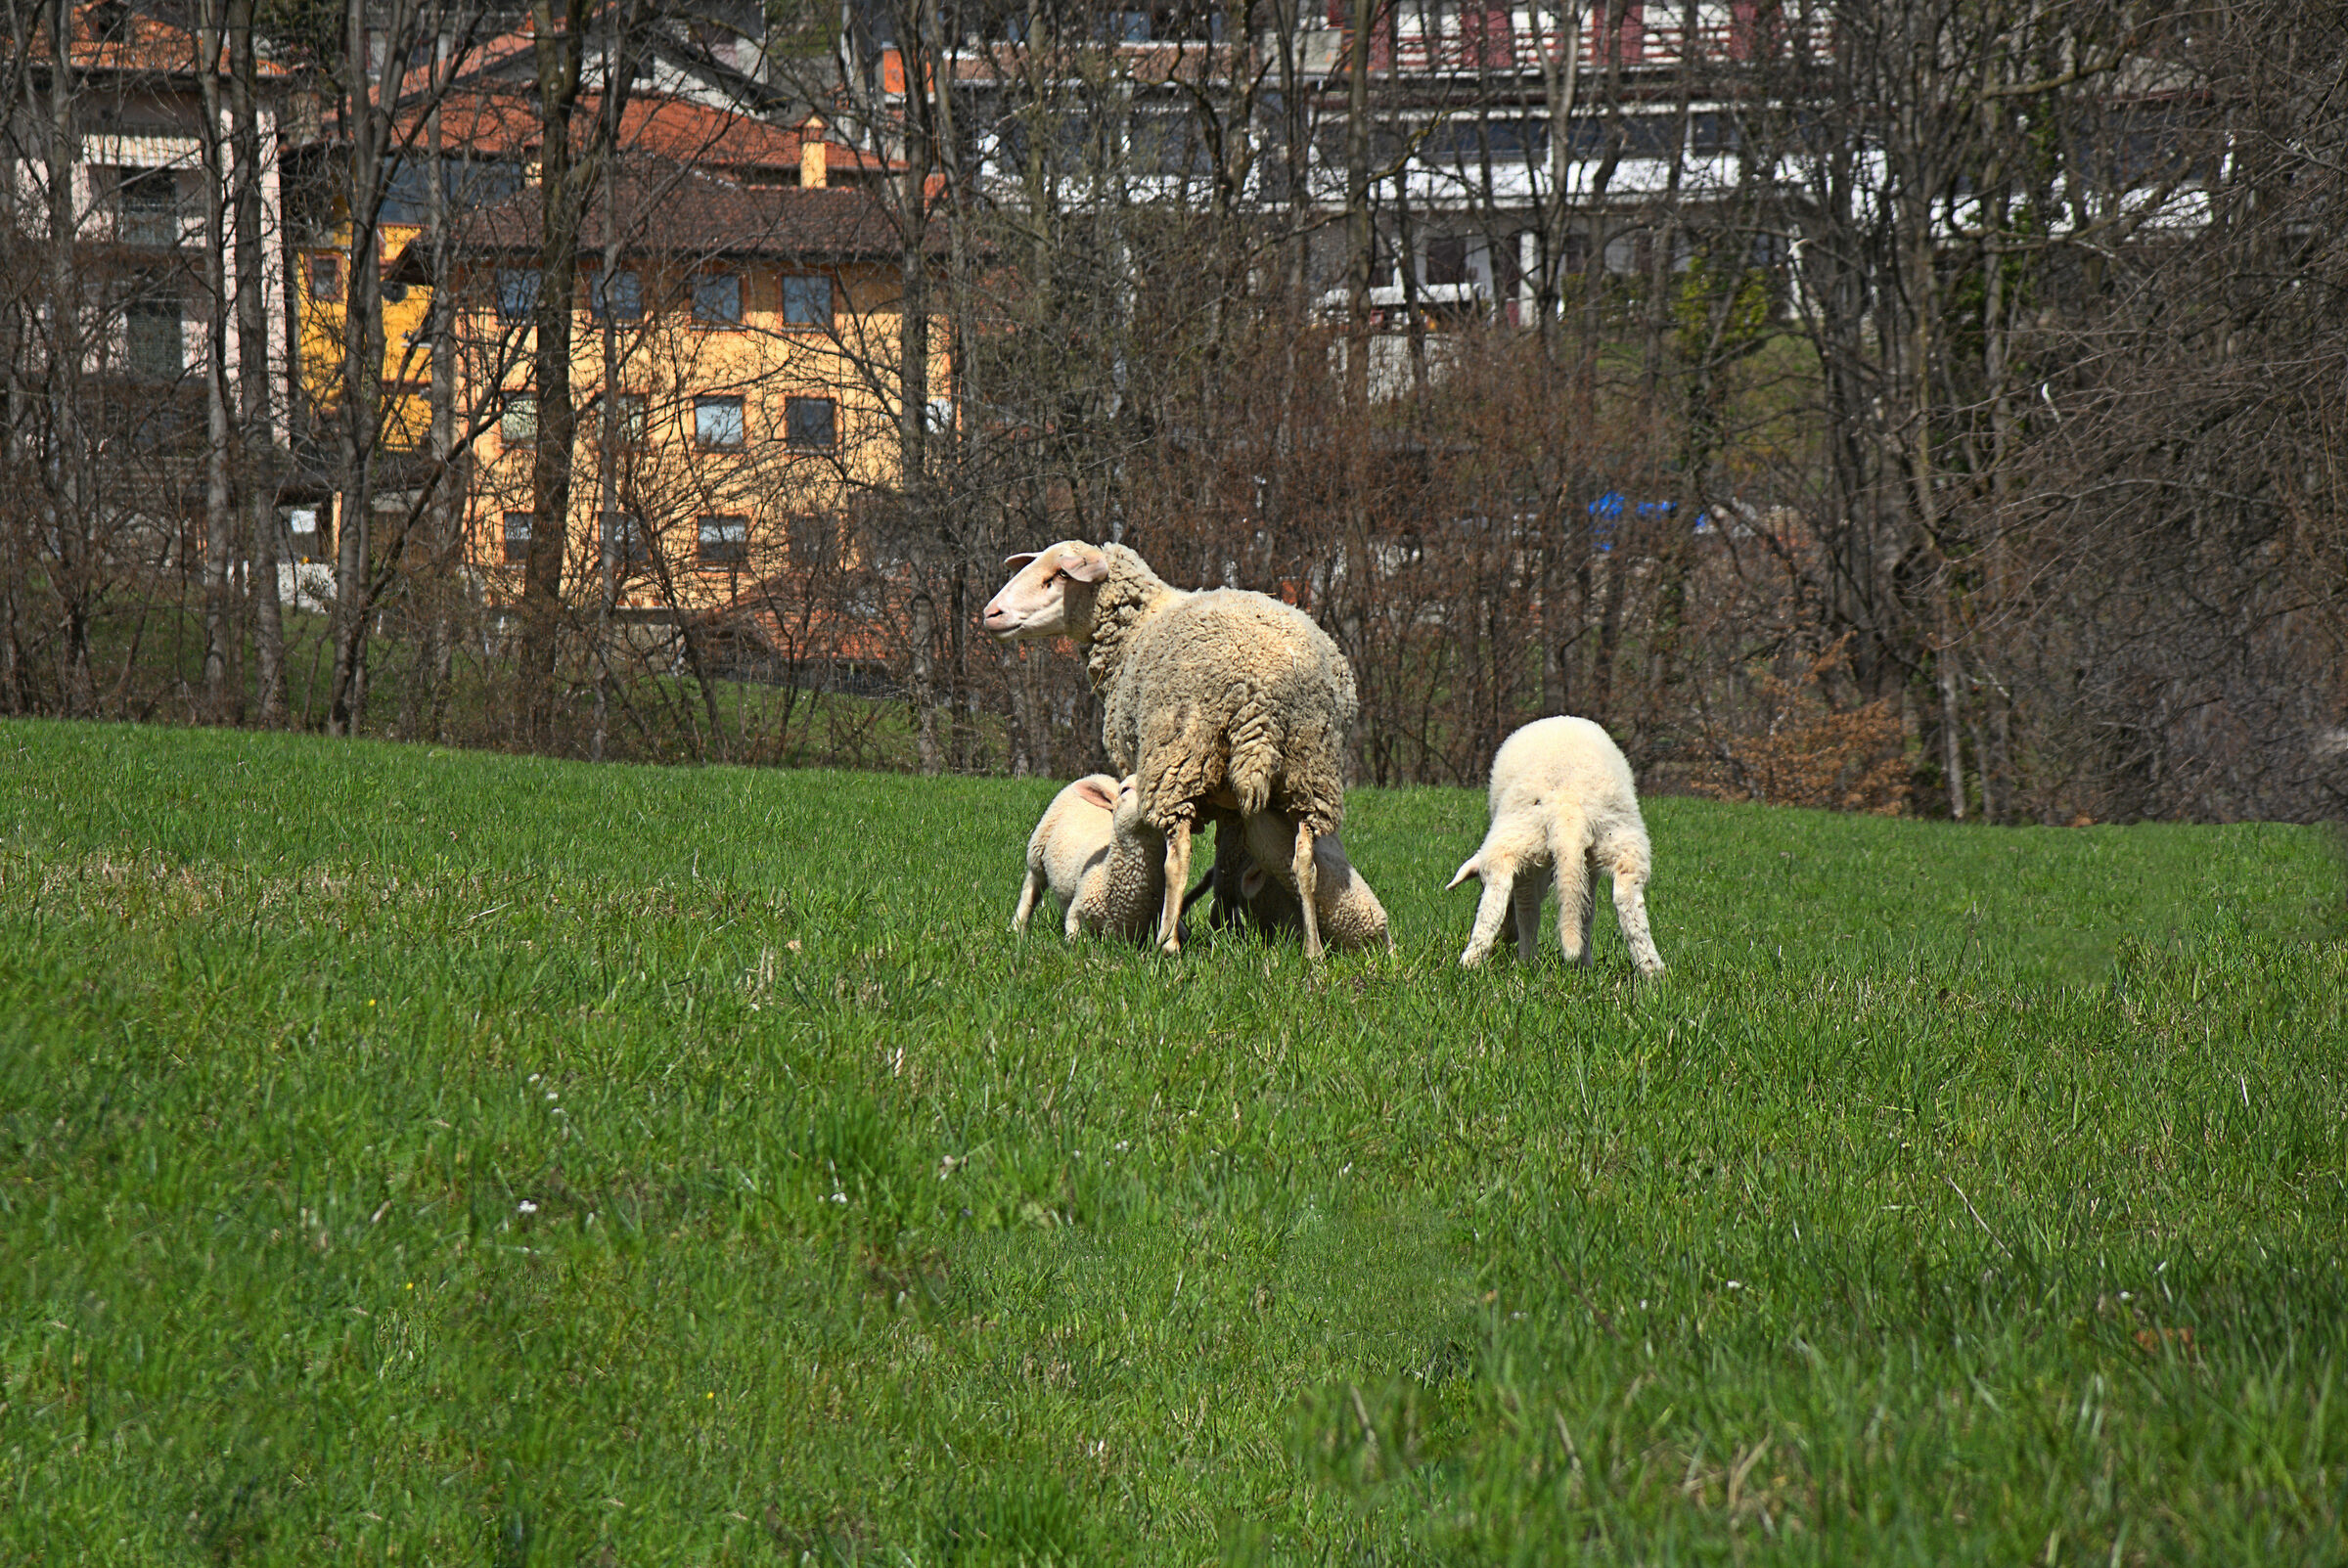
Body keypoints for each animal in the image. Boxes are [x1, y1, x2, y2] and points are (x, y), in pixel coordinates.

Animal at [1012, 774, 1169, 942]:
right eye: (1125, 789)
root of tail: (1099, 775)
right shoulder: (1077, 911)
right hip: (1038, 845)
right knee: (1032, 886)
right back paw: (1016, 928)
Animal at [1445, 716, 1666, 975]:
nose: (1507, 937)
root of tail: (1568, 803)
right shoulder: (1587, 867)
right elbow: (1586, 910)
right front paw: (1583, 962)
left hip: (1516, 840)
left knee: (1503, 903)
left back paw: (1485, 961)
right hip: (1622, 840)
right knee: (1628, 901)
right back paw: (1652, 970)